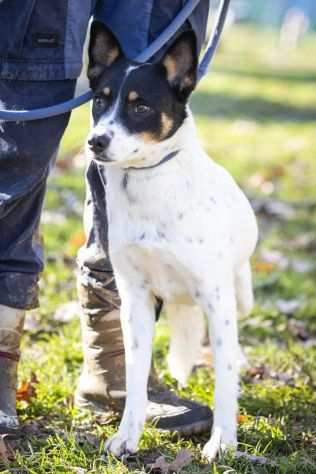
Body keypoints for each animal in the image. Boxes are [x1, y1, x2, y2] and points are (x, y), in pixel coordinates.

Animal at [86, 20, 256, 462]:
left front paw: (222, 442)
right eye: (99, 101)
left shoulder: (216, 298)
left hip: (238, 292)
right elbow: (134, 375)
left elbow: (223, 378)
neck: (147, 182)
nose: (95, 141)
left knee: (232, 346)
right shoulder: (135, 299)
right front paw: (127, 437)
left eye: (140, 107)